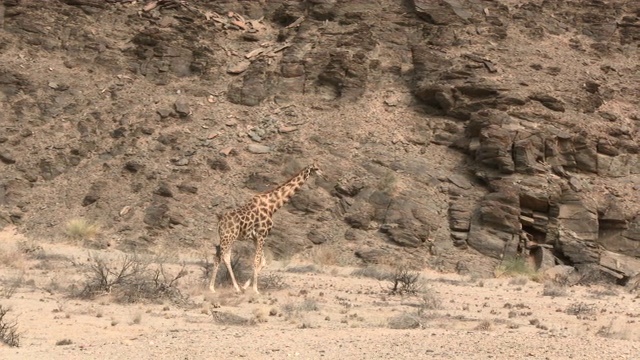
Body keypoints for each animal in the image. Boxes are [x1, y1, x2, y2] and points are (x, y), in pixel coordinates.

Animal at [210, 161, 324, 296]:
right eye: (316, 168)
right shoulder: (262, 235)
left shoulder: (256, 237)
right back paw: (211, 288)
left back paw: (236, 288)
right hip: (227, 237)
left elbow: (263, 261)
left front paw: (245, 287)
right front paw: (255, 290)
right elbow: (256, 261)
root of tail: (220, 221)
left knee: (226, 257)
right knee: (217, 258)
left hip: (229, 238)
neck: (272, 206)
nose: (323, 174)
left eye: (320, 167)